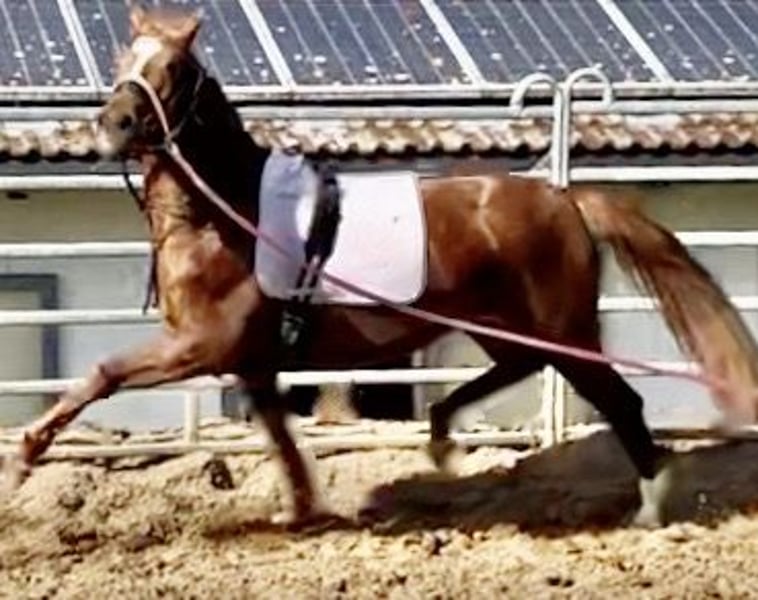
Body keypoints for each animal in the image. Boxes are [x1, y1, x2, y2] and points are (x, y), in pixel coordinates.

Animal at [6, 6, 758, 527]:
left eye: (174, 69)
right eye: (124, 56)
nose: (116, 123)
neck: (225, 215)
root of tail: (563, 196)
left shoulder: (200, 346)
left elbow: (104, 372)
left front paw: (25, 455)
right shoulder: (252, 363)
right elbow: (281, 439)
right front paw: (302, 510)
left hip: (565, 330)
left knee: (620, 401)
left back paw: (650, 507)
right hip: (501, 324)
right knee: (515, 370)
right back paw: (442, 434)